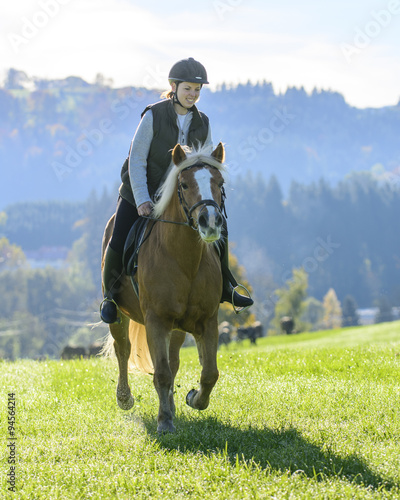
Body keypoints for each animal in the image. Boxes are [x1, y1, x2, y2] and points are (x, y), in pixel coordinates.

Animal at [102, 142, 228, 434]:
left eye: (220, 183)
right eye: (183, 184)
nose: (210, 222)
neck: (184, 259)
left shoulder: (208, 321)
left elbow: (209, 373)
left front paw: (193, 398)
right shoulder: (156, 321)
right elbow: (160, 373)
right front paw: (164, 422)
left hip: (178, 328)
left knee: (173, 361)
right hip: (119, 315)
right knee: (123, 349)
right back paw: (125, 398)